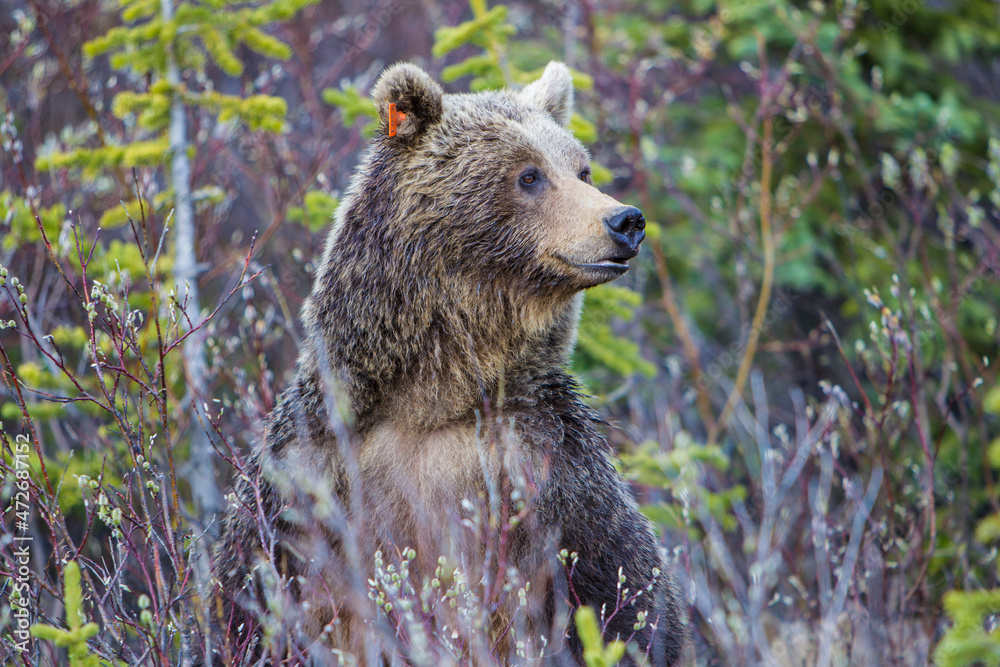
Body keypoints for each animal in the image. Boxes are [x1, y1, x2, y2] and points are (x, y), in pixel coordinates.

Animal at [213, 61, 691, 666]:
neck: (434, 398)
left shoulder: (551, 476)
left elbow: (626, 601)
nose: (625, 220)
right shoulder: (304, 481)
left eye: (582, 167)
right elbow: (255, 604)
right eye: (529, 175)